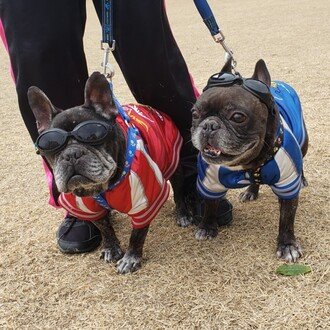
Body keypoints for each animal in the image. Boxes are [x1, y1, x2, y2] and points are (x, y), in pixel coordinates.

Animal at [28, 71, 191, 274]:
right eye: (51, 146)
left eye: (93, 136)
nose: (72, 154)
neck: (104, 187)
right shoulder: (87, 206)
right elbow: (104, 227)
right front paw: (111, 248)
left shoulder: (145, 202)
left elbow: (137, 234)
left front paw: (131, 258)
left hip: (173, 166)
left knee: (179, 192)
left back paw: (183, 214)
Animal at [189, 58, 308, 262]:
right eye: (195, 114)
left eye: (237, 117)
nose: (209, 125)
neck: (247, 163)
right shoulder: (209, 182)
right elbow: (210, 205)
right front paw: (207, 227)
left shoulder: (288, 186)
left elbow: (286, 219)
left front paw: (287, 245)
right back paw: (251, 190)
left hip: (303, 141)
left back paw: (304, 179)